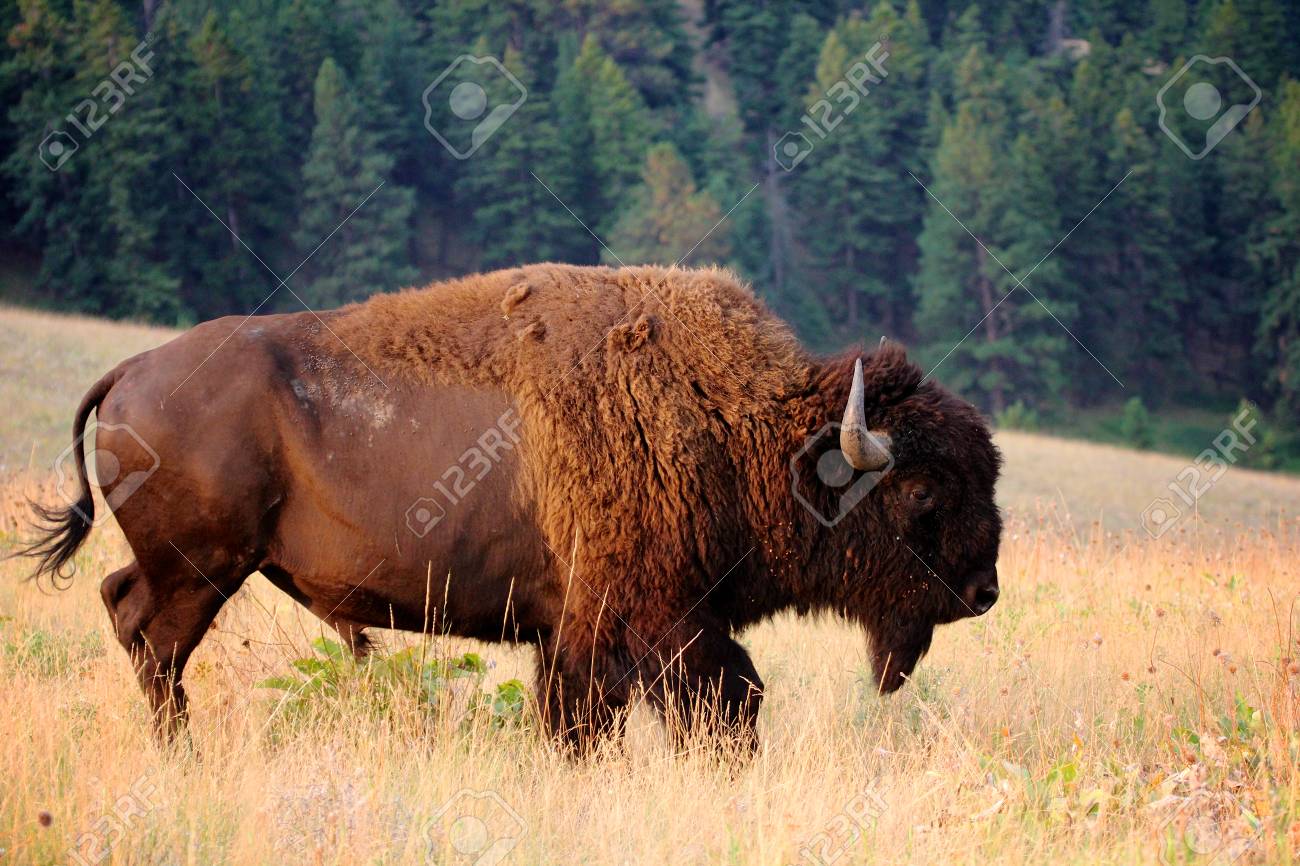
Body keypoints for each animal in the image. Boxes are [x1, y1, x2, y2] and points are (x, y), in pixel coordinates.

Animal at [21, 264, 1001, 752]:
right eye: (919, 491)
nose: (983, 588)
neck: (737, 424)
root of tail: (130, 370)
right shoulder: (655, 620)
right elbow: (725, 702)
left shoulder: (574, 633)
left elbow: (578, 719)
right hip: (201, 570)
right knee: (156, 642)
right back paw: (182, 751)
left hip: (192, 567)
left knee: (123, 609)